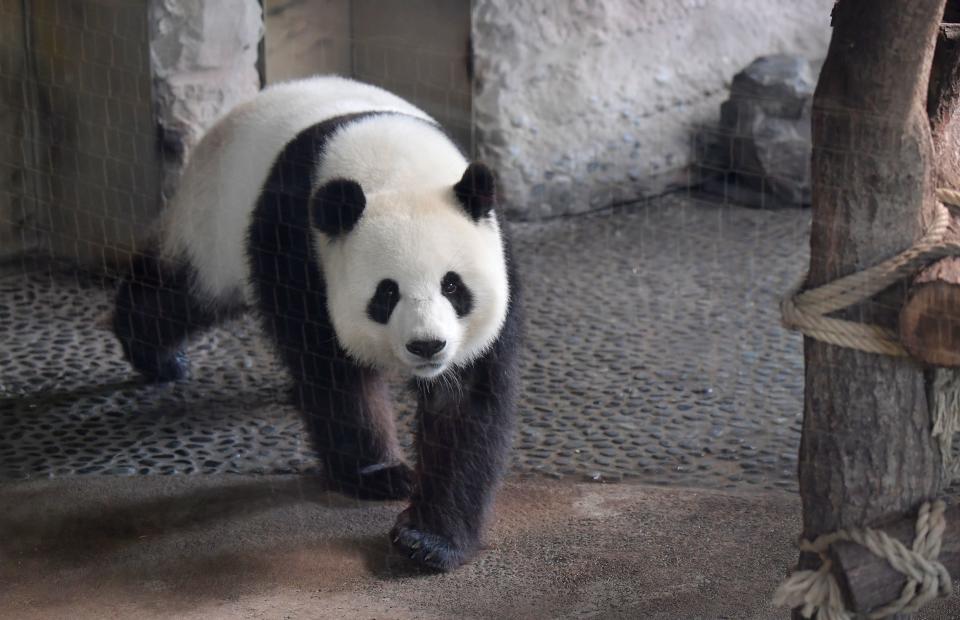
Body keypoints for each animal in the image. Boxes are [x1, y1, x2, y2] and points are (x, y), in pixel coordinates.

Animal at [112, 76, 524, 572]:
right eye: (386, 294)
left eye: (452, 286)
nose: (427, 346)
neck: (393, 168)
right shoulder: (295, 241)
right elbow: (329, 367)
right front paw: (378, 473)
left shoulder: (495, 252)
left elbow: (463, 401)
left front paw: (430, 539)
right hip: (214, 219)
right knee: (184, 292)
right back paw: (152, 351)